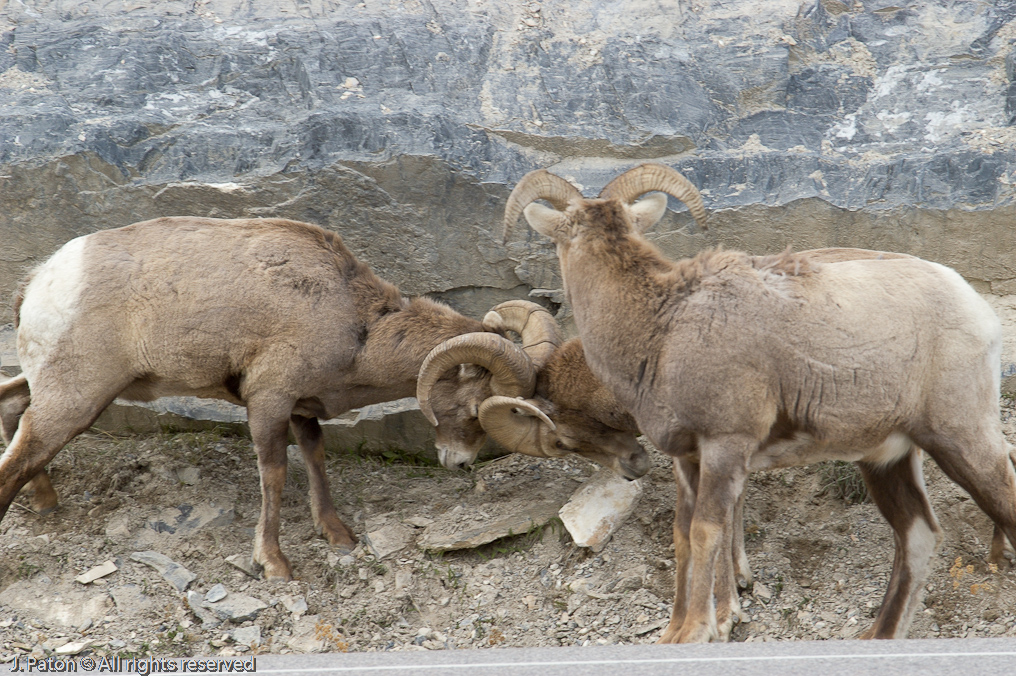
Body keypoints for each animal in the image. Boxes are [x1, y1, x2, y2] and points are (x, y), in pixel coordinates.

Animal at [0, 216, 560, 581]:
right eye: (475, 408)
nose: (459, 463)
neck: (355, 323)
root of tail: (40, 282)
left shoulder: (301, 410)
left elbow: (315, 460)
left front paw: (338, 537)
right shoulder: (268, 401)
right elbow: (274, 473)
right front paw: (274, 565)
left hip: (57, 388)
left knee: (14, 413)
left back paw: (46, 503)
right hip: (76, 398)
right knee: (19, 458)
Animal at [504, 163, 1016, 643]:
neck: (661, 328)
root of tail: (977, 309)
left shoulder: (725, 445)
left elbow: (707, 532)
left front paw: (703, 630)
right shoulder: (688, 459)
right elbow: (683, 536)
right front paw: (675, 632)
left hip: (961, 438)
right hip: (888, 459)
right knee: (918, 537)